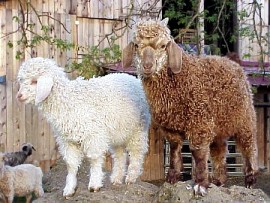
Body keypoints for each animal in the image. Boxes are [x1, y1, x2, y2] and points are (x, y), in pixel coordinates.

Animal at [16, 57, 151, 198]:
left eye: (34, 81)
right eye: (21, 80)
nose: (19, 96)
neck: (68, 101)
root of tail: (131, 78)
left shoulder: (93, 135)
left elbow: (94, 159)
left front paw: (94, 184)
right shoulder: (67, 141)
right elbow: (71, 164)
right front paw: (69, 189)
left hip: (138, 129)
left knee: (137, 153)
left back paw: (131, 177)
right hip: (118, 131)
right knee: (120, 155)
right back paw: (116, 178)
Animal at [122, 18, 258, 196]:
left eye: (163, 45)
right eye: (137, 45)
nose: (148, 65)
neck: (180, 79)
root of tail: (233, 62)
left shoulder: (199, 121)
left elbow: (198, 153)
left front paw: (200, 184)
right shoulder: (170, 127)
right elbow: (174, 150)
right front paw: (172, 178)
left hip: (245, 117)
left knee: (248, 146)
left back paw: (250, 180)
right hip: (219, 123)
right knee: (219, 149)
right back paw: (218, 180)